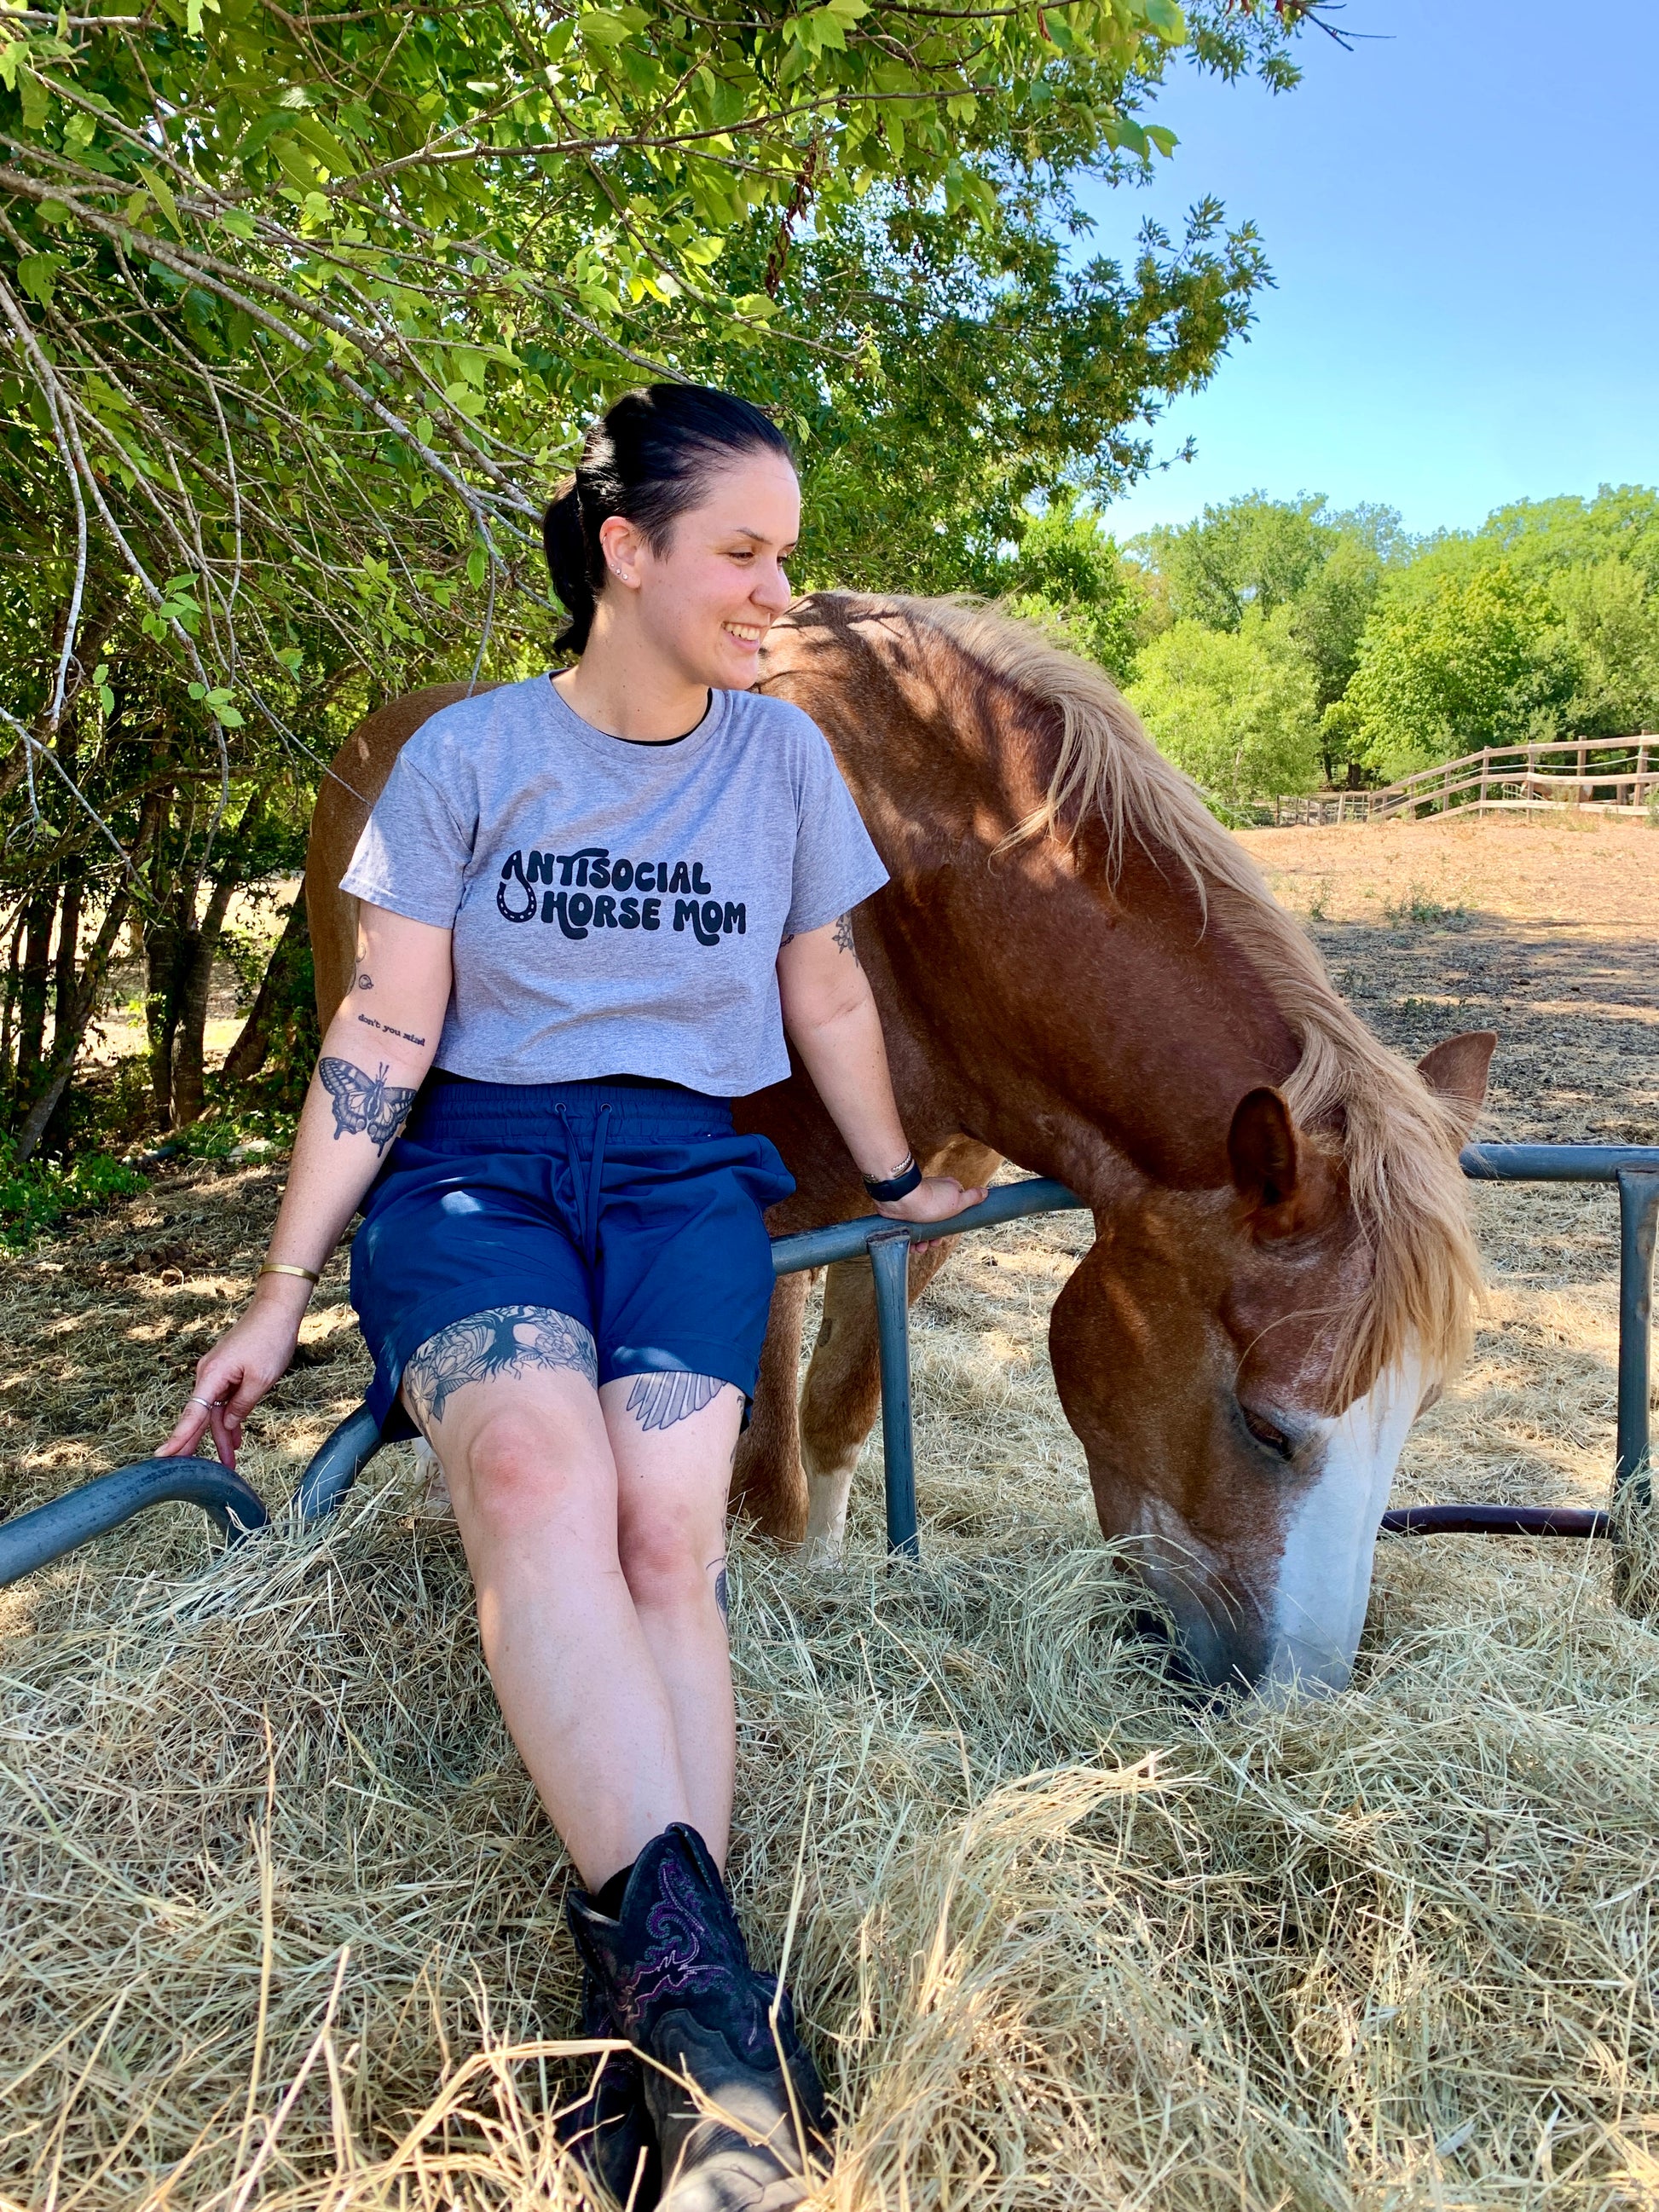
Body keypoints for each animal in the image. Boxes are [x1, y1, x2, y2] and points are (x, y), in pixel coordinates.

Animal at [309, 592, 1494, 1689]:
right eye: (1264, 1425)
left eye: (1420, 1410)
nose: (1294, 1696)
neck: (902, 890)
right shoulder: (759, 1223)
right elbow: (762, 1477)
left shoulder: (929, 1207)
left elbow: (837, 1413)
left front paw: (830, 1574)